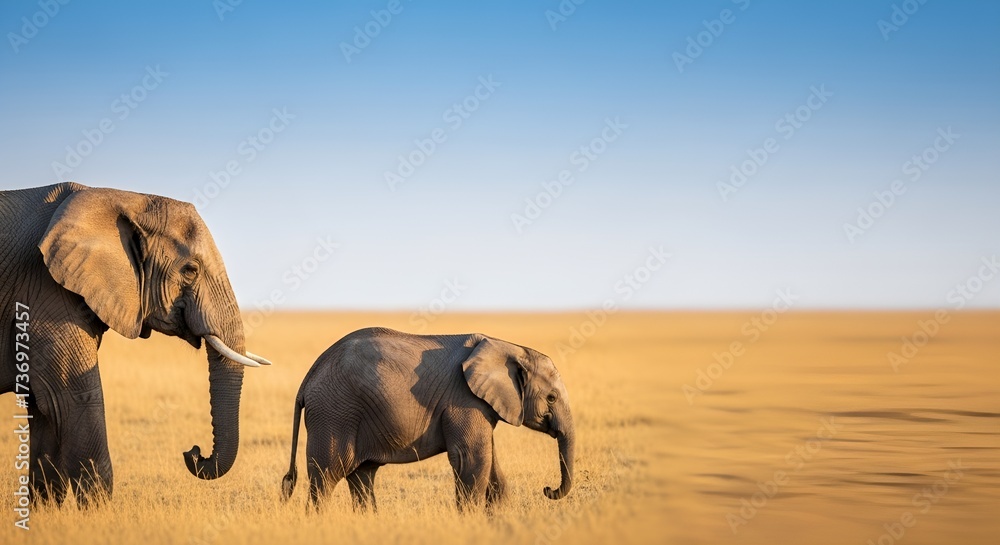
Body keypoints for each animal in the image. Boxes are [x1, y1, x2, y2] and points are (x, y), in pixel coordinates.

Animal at [0, 182, 271, 506]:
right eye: (190, 270)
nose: (192, 452)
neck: (125, 198)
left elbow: (43, 409)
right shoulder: (45, 294)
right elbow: (70, 398)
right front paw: (99, 513)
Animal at [280, 327, 575, 511]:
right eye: (551, 398)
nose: (547, 489)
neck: (506, 345)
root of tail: (308, 378)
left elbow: (490, 464)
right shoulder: (464, 399)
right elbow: (472, 459)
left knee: (361, 478)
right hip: (333, 414)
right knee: (326, 478)